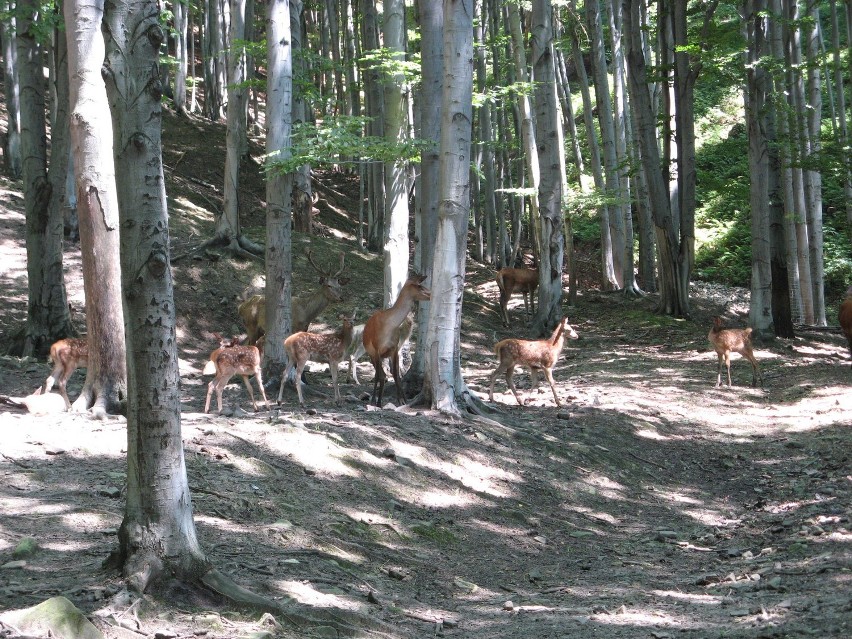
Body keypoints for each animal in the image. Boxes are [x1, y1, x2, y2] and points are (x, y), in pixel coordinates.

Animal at [364, 274, 432, 404]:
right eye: (419, 286)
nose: (431, 294)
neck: (389, 326)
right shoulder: (377, 348)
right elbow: (380, 375)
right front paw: (377, 402)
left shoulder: (394, 348)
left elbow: (396, 375)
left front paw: (402, 401)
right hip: (371, 353)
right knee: (379, 374)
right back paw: (375, 400)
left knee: (386, 374)